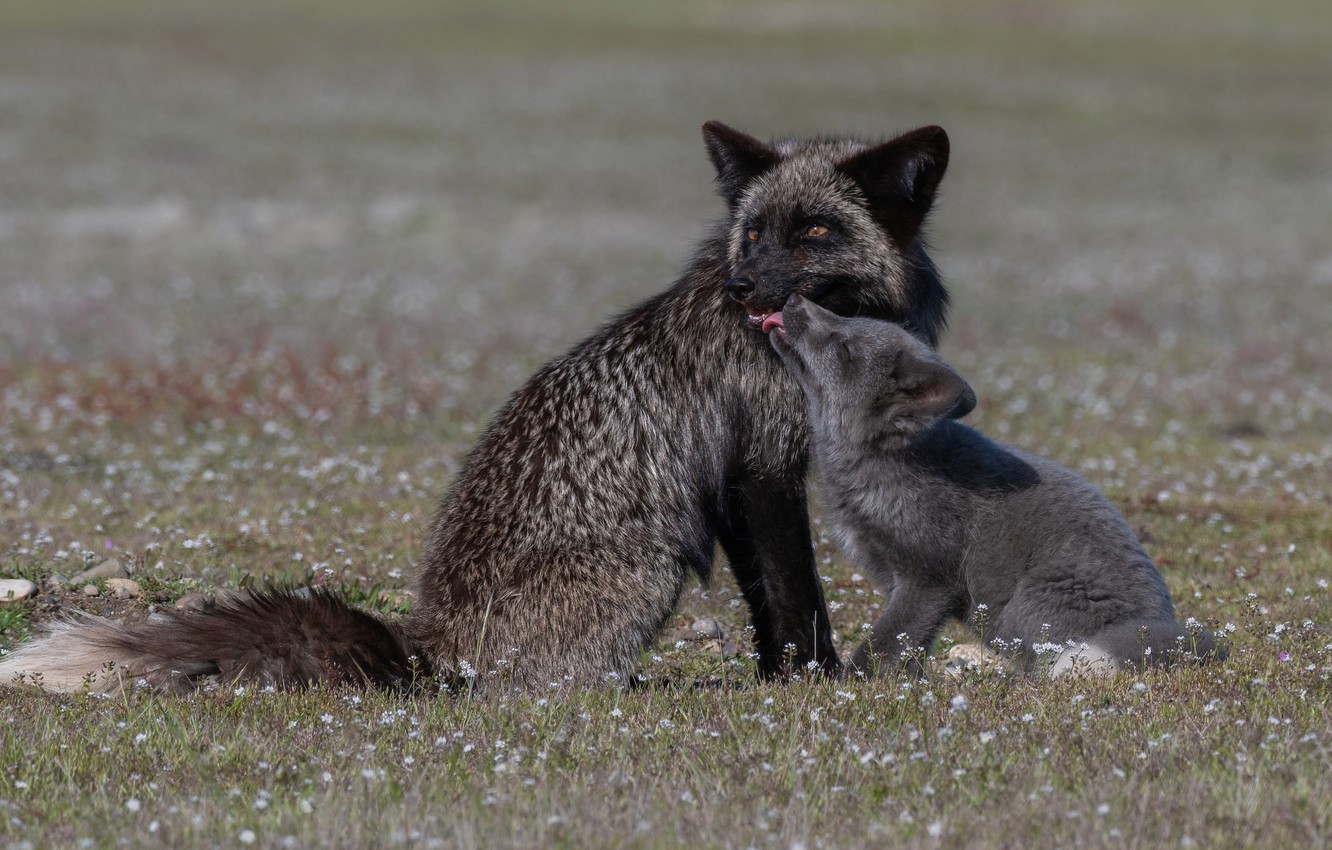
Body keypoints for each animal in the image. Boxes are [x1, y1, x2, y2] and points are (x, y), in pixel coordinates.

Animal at [0, 121, 954, 693]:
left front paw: (783, 679)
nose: (742, 286)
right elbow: (795, 600)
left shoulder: (737, 484)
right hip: (647, 569)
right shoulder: (763, 466)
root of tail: (432, 645)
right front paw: (814, 681)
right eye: (753, 232)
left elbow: (767, 601)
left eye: (815, 232)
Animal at [767, 295, 1223, 676]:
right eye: (847, 317)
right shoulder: (904, 585)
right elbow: (910, 649)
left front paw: (851, 684)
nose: (793, 299)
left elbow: (881, 646)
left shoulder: (927, 580)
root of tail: (1154, 625)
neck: (886, 468)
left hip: (1025, 607)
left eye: (844, 347)